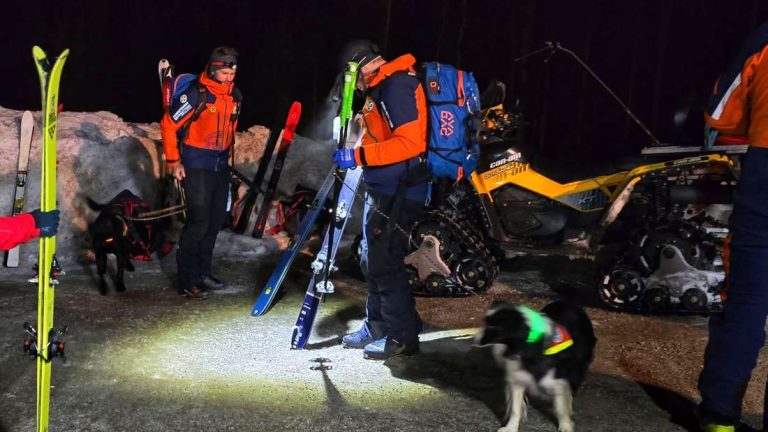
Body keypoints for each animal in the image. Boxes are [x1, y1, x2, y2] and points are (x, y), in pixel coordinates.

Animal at [476, 300, 596, 432]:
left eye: (493, 327)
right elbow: (515, 409)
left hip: (578, 368)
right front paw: (511, 427)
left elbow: (561, 407)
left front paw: (566, 426)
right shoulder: (518, 378)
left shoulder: (559, 380)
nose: (475, 339)